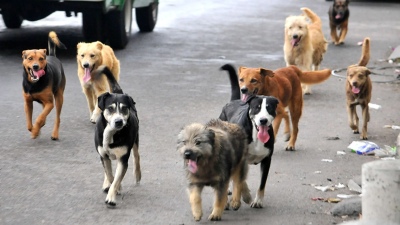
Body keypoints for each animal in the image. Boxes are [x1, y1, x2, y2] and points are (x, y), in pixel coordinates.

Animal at [93, 64, 140, 206]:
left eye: (124, 108)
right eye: (110, 108)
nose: (118, 121)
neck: (111, 133)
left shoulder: (123, 159)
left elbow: (116, 178)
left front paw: (112, 196)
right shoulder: (103, 155)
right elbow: (110, 174)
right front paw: (114, 187)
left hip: (136, 140)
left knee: (137, 156)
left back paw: (138, 174)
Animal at [219, 64, 278, 208]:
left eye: (269, 108)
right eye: (257, 107)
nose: (263, 120)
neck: (256, 136)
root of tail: (234, 101)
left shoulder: (267, 160)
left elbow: (262, 183)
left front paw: (258, 201)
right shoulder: (240, 158)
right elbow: (241, 180)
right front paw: (245, 195)